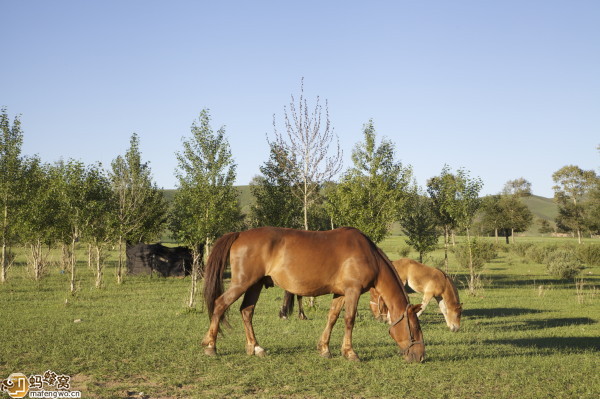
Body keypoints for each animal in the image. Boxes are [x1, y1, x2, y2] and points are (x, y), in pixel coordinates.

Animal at [203, 227, 426, 364]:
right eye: (415, 330)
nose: (420, 356)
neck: (368, 254)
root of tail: (240, 234)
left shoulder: (340, 293)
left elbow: (332, 318)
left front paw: (324, 348)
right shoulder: (352, 291)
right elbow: (349, 320)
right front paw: (350, 352)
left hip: (254, 285)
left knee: (246, 311)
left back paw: (255, 347)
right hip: (243, 283)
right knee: (220, 304)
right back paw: (211, 346)